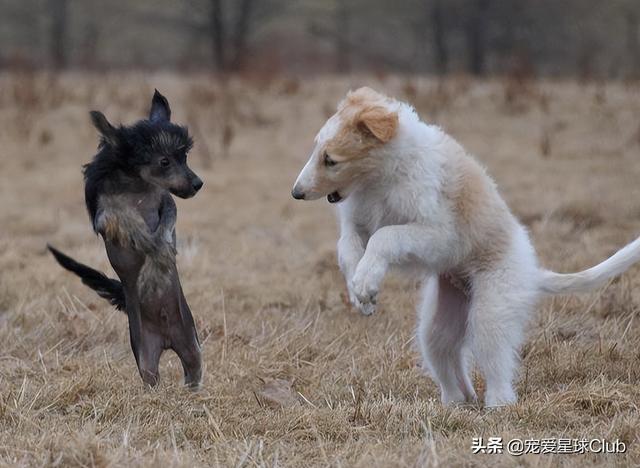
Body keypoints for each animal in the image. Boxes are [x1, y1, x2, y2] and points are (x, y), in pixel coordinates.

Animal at [47, 89, 202, 390]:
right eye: (164, 161)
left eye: (185, 157)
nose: (198, 184)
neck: (136, 185)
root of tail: (167, 340)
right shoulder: (106, 217)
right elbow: (131, 223)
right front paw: (151, 248)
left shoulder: (166, 202)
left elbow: (164, 227)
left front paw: (161, 256)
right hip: (145, 356)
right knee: (151, 377)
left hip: (191, 345)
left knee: (193, 371)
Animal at [292, 87, 640, 406]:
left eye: (331, 160)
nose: (296, 193)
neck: (382, 176)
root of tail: (533, 272)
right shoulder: (357, 222)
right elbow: (348, 247)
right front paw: (361, 292)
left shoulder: (437, 234)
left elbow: (386, 236)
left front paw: (366, 283)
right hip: (440, 322)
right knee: (449, 362)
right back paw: (455, 403)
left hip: (491, 310)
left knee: (496, 363)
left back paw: (497, 405)